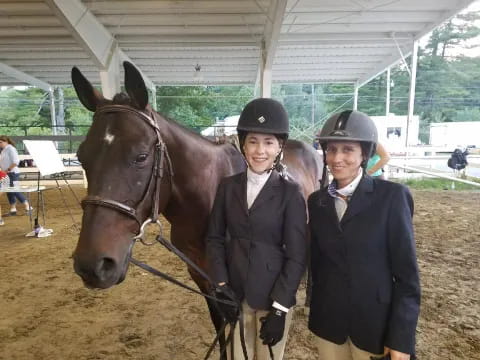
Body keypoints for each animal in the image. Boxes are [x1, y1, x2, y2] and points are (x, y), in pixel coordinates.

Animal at [70, 61, 322, 358]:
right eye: (81, 157)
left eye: (141, 156)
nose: (92, 266)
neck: (208, 199)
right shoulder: (204, 278)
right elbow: (220, 323)